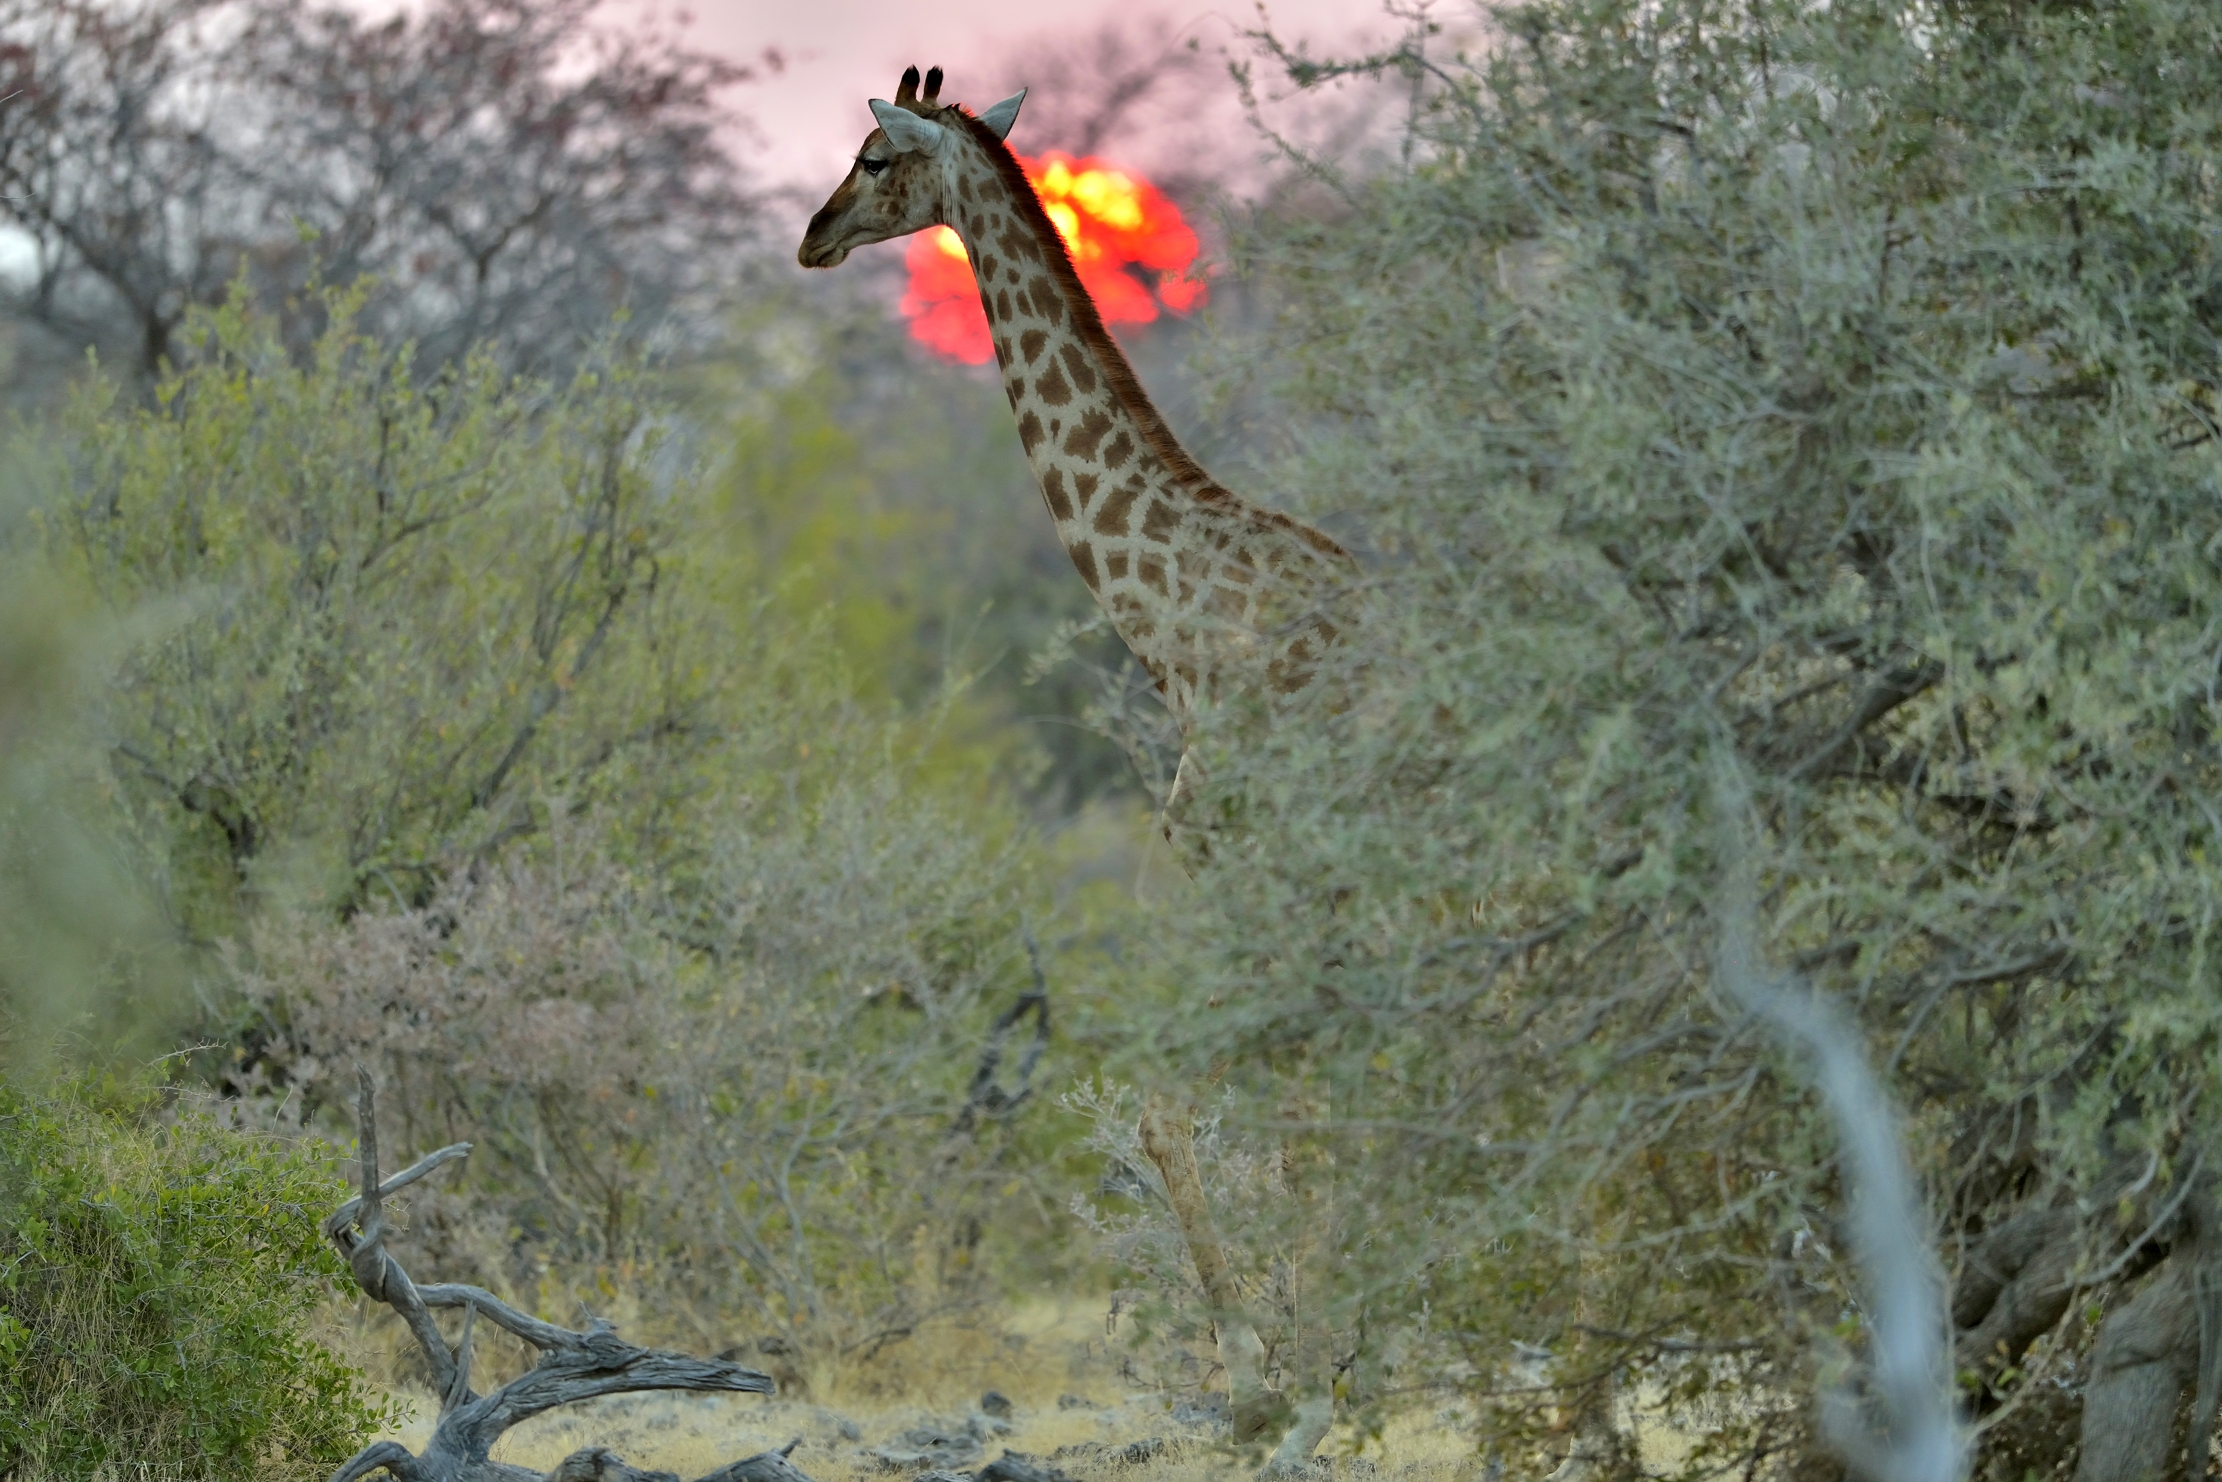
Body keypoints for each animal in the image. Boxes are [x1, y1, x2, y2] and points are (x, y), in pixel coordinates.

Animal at [798, 67, 1352, 1472]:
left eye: (874, 157)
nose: (811, 237)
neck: (1177, 619)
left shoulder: (1225, 861)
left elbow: (1187, 1104)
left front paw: (1272, 1385)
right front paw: (1305, 1372)